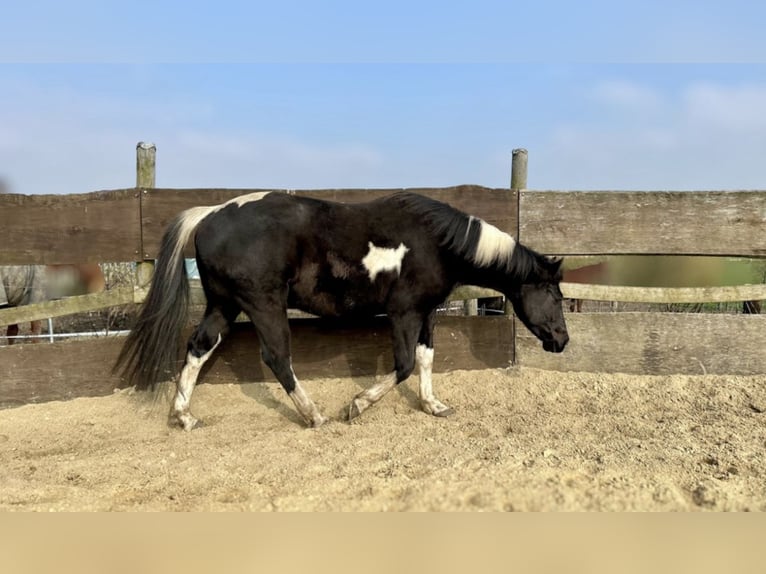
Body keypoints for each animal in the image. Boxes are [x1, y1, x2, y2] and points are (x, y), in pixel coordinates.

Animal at [115, 194, 568, 432]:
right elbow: (404, 364)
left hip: (223, 306)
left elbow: (425, 360)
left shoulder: (426, 314)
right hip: (264, 305)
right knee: (277, 357)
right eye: (553, 293)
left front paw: (433, 405)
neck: (435, 242)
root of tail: (208, 215)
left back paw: (183, 416)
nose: (562, 340)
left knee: (198, 347)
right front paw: (356, 405)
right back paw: (314, 415)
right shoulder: (403, 313)